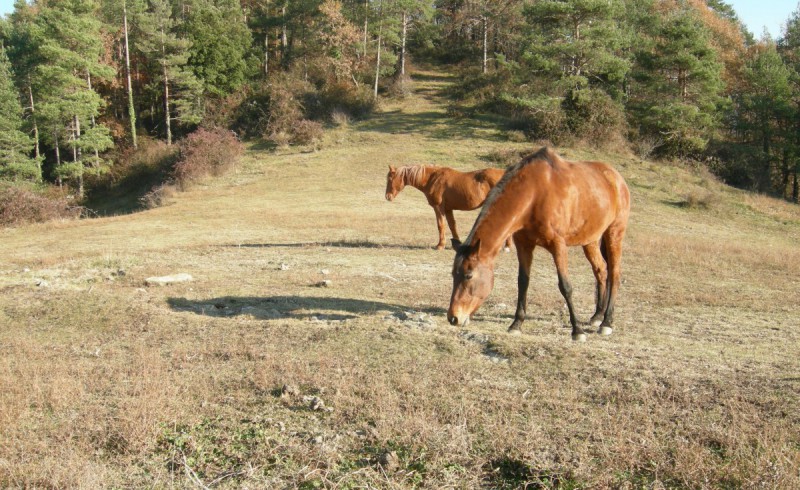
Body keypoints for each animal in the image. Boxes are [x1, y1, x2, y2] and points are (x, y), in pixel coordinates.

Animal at [446, 147, 628, 342]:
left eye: (468, 275)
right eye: (453, 274)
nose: (453, 318)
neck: (534, 194)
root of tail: (616, 177)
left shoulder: (558, 246)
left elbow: (565, 286)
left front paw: (577, 331)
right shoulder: (524, 244)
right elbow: (523, 282)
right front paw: (516, 324)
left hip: (614, 233)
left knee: (614, 274)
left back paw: (606, 322)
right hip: (590, 241)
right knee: (601, 270)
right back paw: (597, 316)